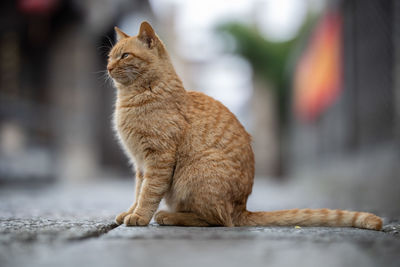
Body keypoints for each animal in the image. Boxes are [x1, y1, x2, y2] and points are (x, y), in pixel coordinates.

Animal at [108, 21, 382, 230]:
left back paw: (168, 216)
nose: (109, 67)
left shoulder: (158, 159)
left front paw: (140, 216)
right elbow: (138, 191)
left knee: (218, 220)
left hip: (197, 171)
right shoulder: (140, 164)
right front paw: (129, 212)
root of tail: (243, 208)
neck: (132, 98)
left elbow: (149, 193)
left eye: (125, 55)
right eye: (110, 56)